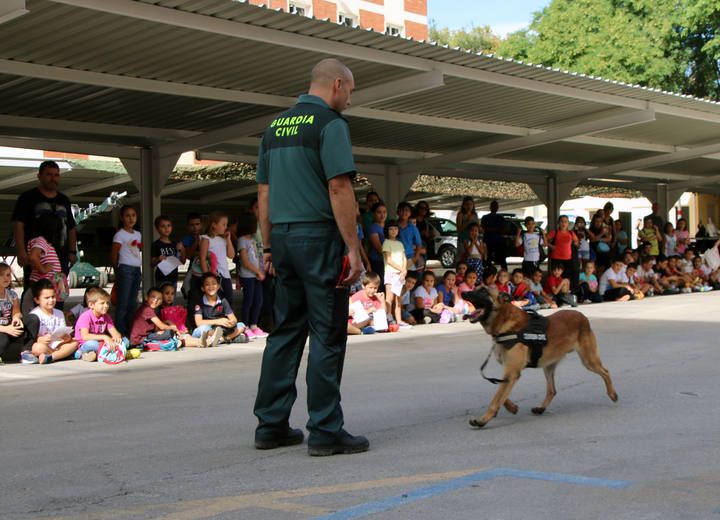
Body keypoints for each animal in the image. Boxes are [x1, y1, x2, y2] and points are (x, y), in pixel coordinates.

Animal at [464, 286, 616, 428]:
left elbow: (496, 398)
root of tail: (582, 316)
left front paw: (483, 420)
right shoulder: (509, 373)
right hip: (548, 366)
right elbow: (501, 394)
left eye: (483, 291)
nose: (463, 293)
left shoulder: (511, 372)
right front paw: (512, 408)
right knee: (552, 390)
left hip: (588, 361)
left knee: (605, 372)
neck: (504, 321)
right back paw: (541, 408)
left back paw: (613, 394)